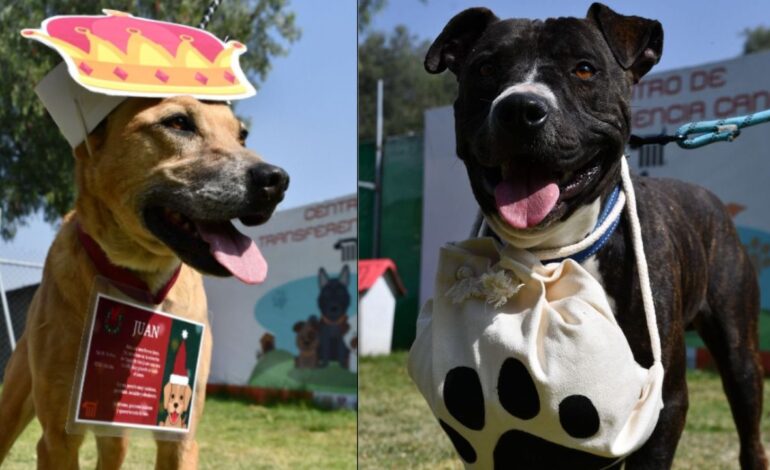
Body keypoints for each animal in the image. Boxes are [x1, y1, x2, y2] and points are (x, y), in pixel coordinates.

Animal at [0, 96, 288, 470]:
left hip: (114, 433)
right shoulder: (57, 440)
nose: (277, 180)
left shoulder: (180, 439)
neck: (141, 282)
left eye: (243, 136)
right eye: (178, 122)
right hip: (15, 406)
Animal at [424, 4, 764, 470]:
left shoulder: (667, 403)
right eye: (486, 68)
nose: (520, 107)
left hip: (740, 352)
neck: (553, 252)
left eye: (584, 69)